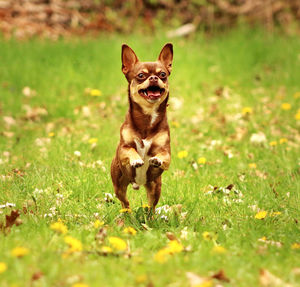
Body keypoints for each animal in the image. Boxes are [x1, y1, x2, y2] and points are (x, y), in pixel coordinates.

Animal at [110, 44, 172, 210]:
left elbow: (164, 156)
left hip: (155, 187)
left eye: (163, 74)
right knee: (125, 202)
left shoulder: (166, 152)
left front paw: (157, 160)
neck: (147, 117)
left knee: (151, 207)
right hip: (118, 185)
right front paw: (136, 160)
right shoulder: (124, 148)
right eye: (141, 75)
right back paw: (127, 213)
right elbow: (131, 150)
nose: (154, 78)